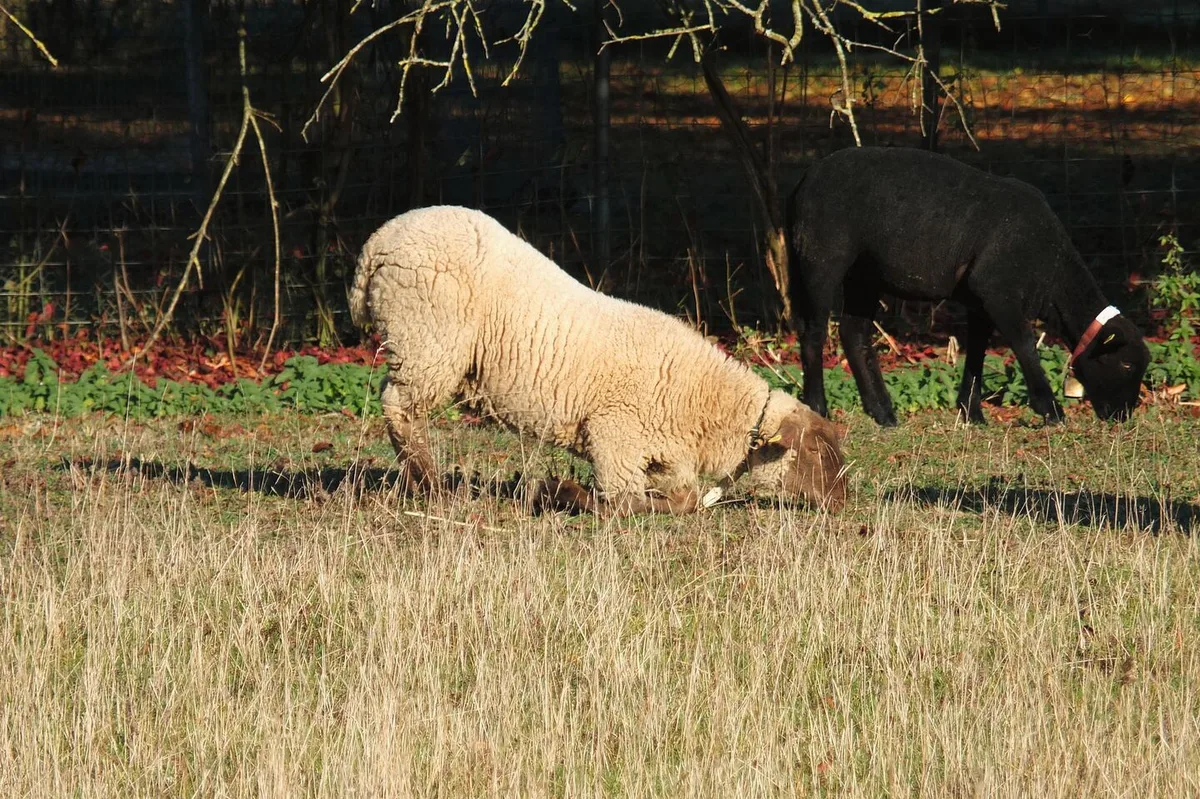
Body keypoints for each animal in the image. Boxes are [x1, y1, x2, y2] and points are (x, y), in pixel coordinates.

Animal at [349, 205, 847, 516]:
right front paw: (562, 492)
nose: (843, 502)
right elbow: (621, 502)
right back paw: (432, 487)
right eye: (814, 452)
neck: (705, 400)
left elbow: (684, 501)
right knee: (399, 409)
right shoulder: (614, 437)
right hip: (427, 341)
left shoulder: (665, 455)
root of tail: (378, 242)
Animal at [785, 146, 1150, 427]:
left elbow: (977, 349)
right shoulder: (998, 293)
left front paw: (972, 413)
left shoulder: (980, 300)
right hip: (821, 257)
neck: (1053, 273)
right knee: (813, 330)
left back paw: (883, 413)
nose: (1123, 416)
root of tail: (804, 179)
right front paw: (1051, 411)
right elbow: (1024, 345)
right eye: (1126, 364)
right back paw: (818, 408)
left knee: (853, 331)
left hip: (865, 272)